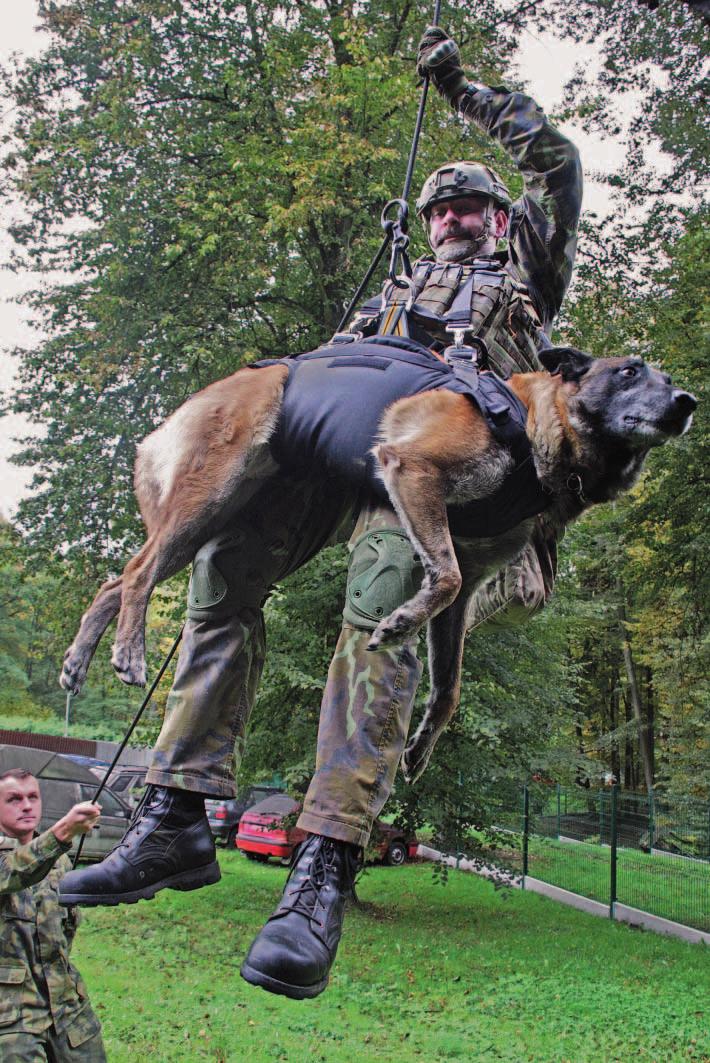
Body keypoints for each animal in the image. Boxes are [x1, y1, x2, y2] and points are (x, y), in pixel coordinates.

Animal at [59, 346, 692, 782]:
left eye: (666, 379)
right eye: (629, 371)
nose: (686, 403)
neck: (538, 425)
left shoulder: (467, 587)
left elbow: (449, 682)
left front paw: (421, 743)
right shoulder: (414, 471)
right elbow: (444, 578)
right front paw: (399, 621)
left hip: (212, 522)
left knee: (113, 582)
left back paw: (77, 661)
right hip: (206, 497)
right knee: (137, 573)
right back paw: (128, 652)